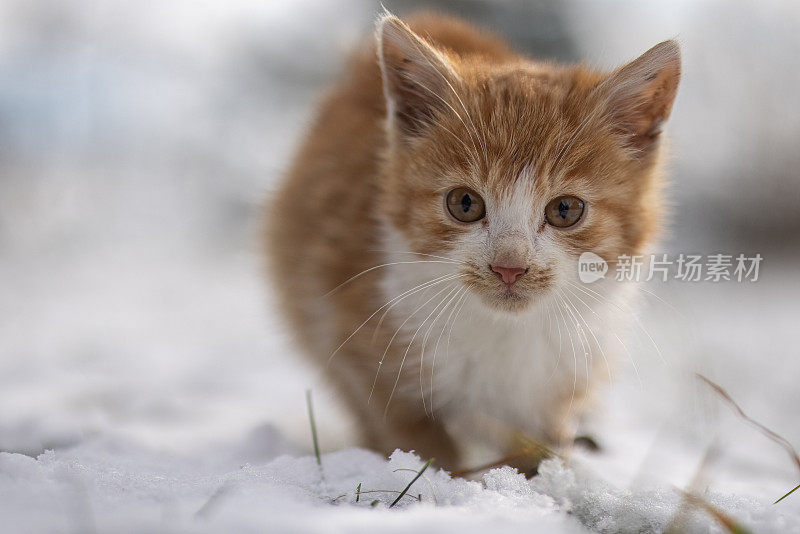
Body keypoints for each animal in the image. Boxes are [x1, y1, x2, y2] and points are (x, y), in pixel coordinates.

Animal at [266, 13, 680, 474]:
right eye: (464, 203)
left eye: (565, 209)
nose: (509, 267)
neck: (507, 332)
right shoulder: (349, 325)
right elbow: (406, 427)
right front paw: (442, 477)